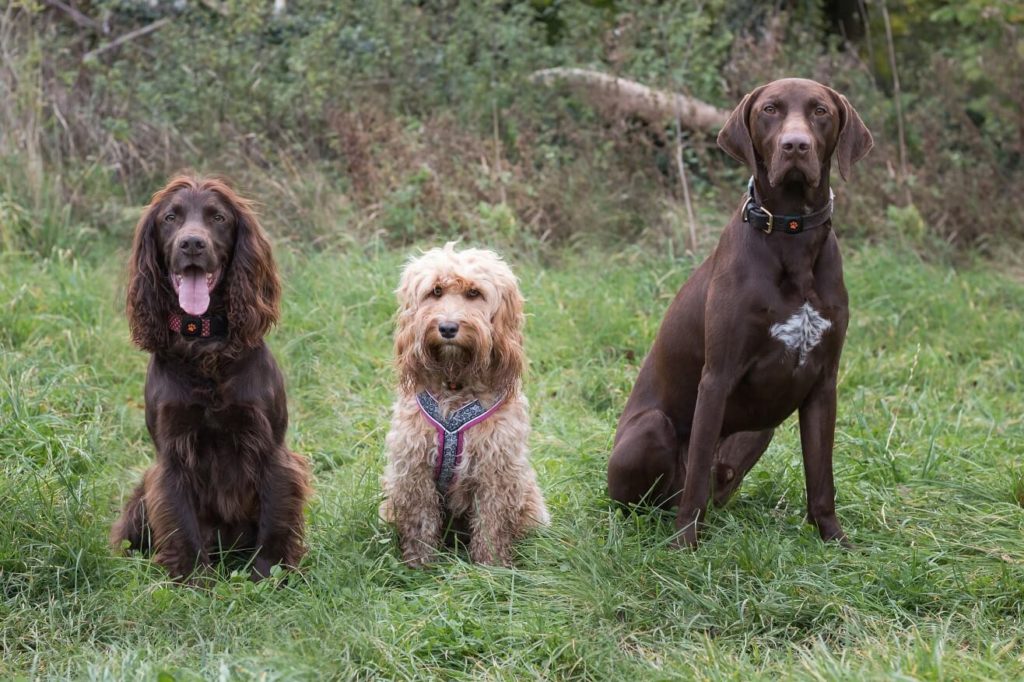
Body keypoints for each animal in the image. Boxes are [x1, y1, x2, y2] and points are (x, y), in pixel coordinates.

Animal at [112, 174, 309, 577]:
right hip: (141, 498)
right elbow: (182, 524)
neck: (204, 346)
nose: (192, 243)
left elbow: (274, 519)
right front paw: (192, 578)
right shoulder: (172, 454)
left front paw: (269, 574)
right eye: (170, 217)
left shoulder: (270, 447)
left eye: (218, 217)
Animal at [378, 241, 548, 565]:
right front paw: (420, 564)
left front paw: (491, 566)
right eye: (435, 291)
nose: (447, 327)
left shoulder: (497, 470)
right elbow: (420, 521)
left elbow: (492, 524)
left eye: (474, 293)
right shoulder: (414, 468)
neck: (455, 382)